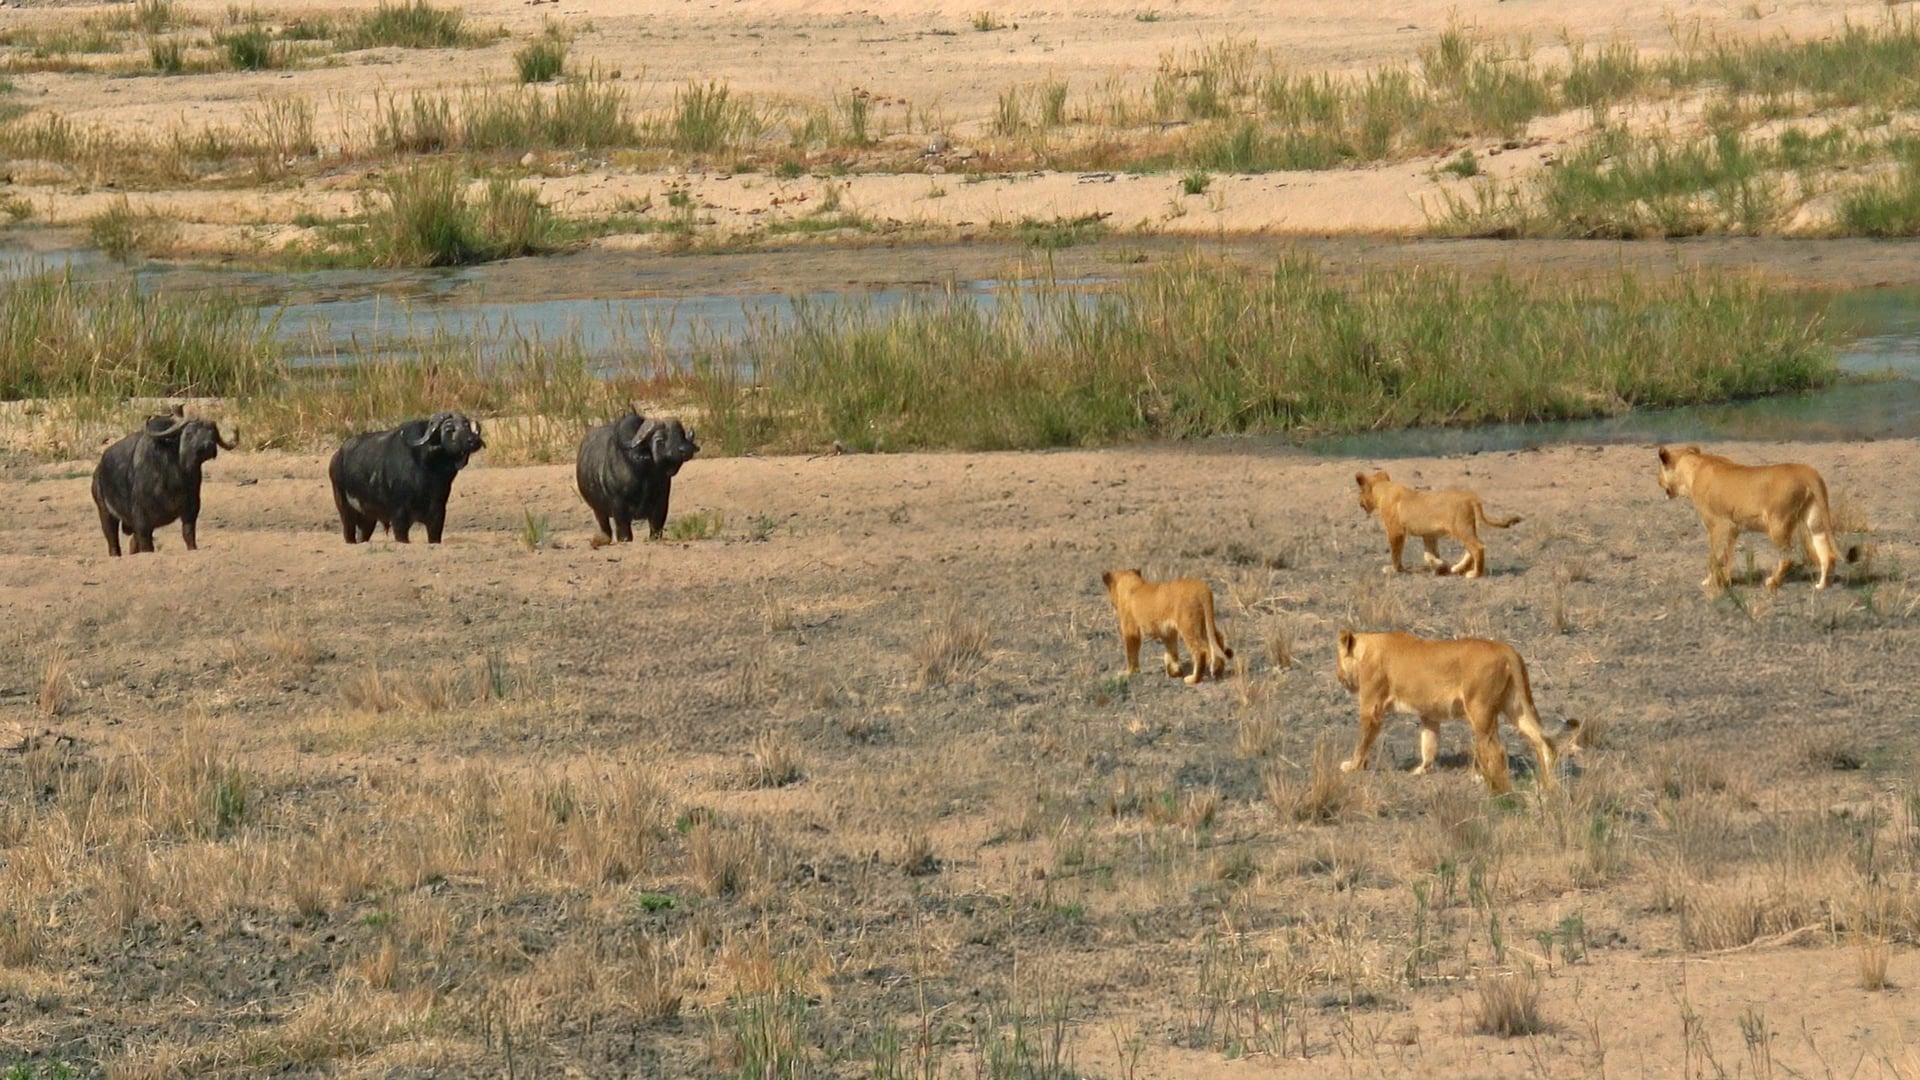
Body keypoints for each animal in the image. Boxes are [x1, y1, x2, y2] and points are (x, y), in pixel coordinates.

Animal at [1101, 569, 1234, 685]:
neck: (1131, 583)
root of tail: (1202, 588)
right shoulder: (1168, 632)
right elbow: (1171, 651)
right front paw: (1174, 670)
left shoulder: (1131, 632)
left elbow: (1131, 654)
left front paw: (1128, 673)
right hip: (1204, 623)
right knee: (1218, 639)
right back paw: (1218, 670)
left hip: (1188, 625)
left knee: (1200, 650)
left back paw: (1193, 679)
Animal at [1335, 629, 1569, 794]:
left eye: (1337, 659)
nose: (1338, 677)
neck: (1367, 648)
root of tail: (1507, 650)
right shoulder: (1429, 715)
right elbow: (1428, 744)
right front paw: (1422, 770)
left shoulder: (1371, 708)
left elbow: (1362, 742)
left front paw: (1352, 766)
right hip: (1515, 706)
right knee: (1542, 741)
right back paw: (1549, 785)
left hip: (1480, 709)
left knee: (1496, 750)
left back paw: (1494, 786)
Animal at [1355, 471, 1520, 579]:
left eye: (1359, 492)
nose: (1359, 502)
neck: (1383, 488)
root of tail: (1470, 496)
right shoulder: (1429, 535)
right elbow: (1429, 555)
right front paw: (1440, 565)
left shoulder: (1395, 531)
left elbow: (1396, 554)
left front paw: (1393, 569)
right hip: (1466, 528)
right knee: (1473, 548)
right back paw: (1457, 568)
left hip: (1461, 528)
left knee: (1478, 547)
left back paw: (1474, 574)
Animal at [1656, 444, 1855, 591]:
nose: (1658, 481)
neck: (1694, 467)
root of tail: (1807, 471)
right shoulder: (1732, 529)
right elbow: (1727, 557)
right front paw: (1726, 580)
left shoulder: (1718, 527)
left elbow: (1715, 558)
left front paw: (1710, 583)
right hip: (1814, 522)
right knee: (1827, 554)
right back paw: (1821, 585)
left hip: (1777, 524)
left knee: (1788, 557)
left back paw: (1773, 582)